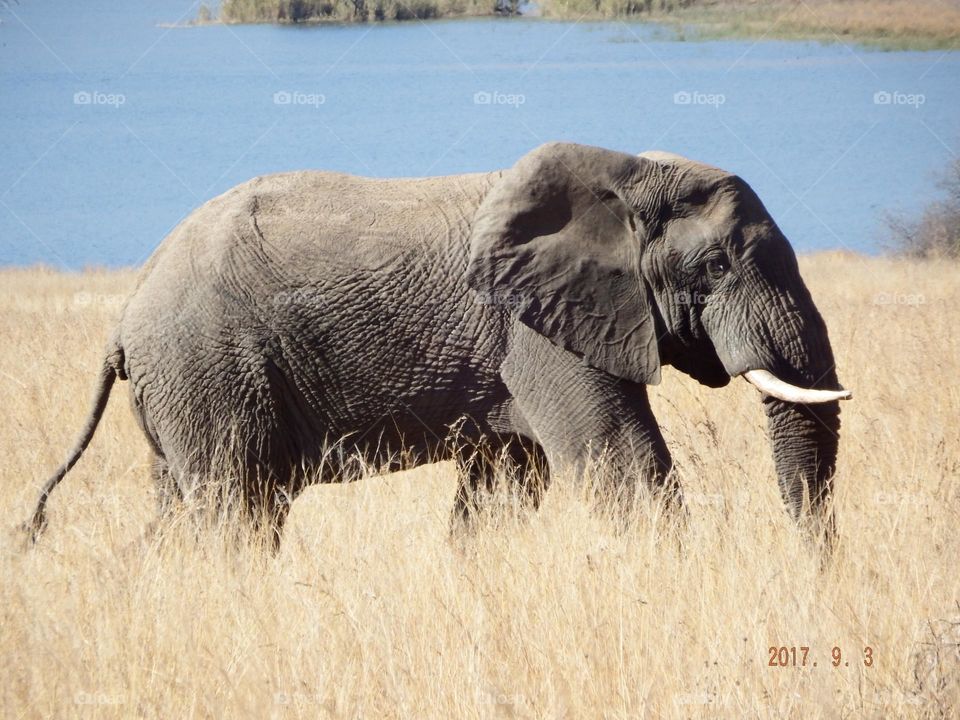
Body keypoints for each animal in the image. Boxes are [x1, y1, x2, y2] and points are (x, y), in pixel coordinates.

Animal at [25, 142, 851, 548]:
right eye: (715, 268)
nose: (807, 569)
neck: (627, 170)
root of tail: (123, 317)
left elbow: (505, 488)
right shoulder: (536, 331)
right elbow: (622, 463)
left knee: (180, 513)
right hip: (208, 369)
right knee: (238, 512)